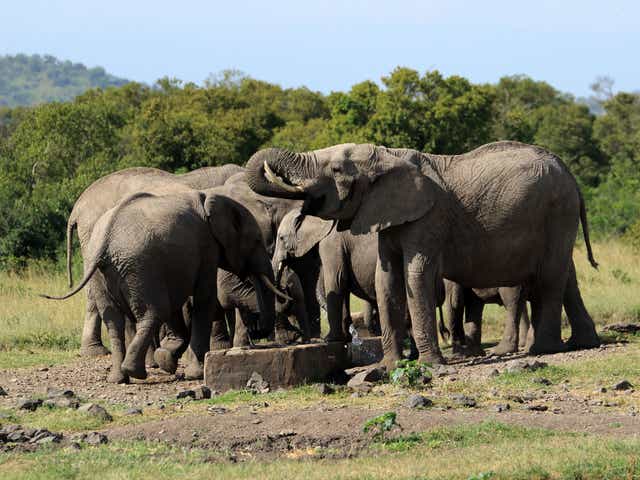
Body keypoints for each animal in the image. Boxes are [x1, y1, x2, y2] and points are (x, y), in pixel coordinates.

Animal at [43, 186, 283, 382]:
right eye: (257, 241)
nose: (259, 330)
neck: (211, 198)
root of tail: (105, 240)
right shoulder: (206, 247)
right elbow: (203, 299)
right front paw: (194, 373)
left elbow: (179, 304)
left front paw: (167, 360)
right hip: (140, 266)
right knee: (154, 312)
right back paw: (135, 373)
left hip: (101, 270)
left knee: (115, 320)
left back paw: (119, 378)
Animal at [245, 141, 601, 369]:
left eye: (334, 169)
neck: (388, 156)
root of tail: (570, 175)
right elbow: (386, 279)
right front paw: (389, 366)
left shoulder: (429, 218)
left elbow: (416, 276)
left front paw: (431, 365)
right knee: (565, 275)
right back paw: (580, 344)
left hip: (557, 211)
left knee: (550, 277)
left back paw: (542, 350)